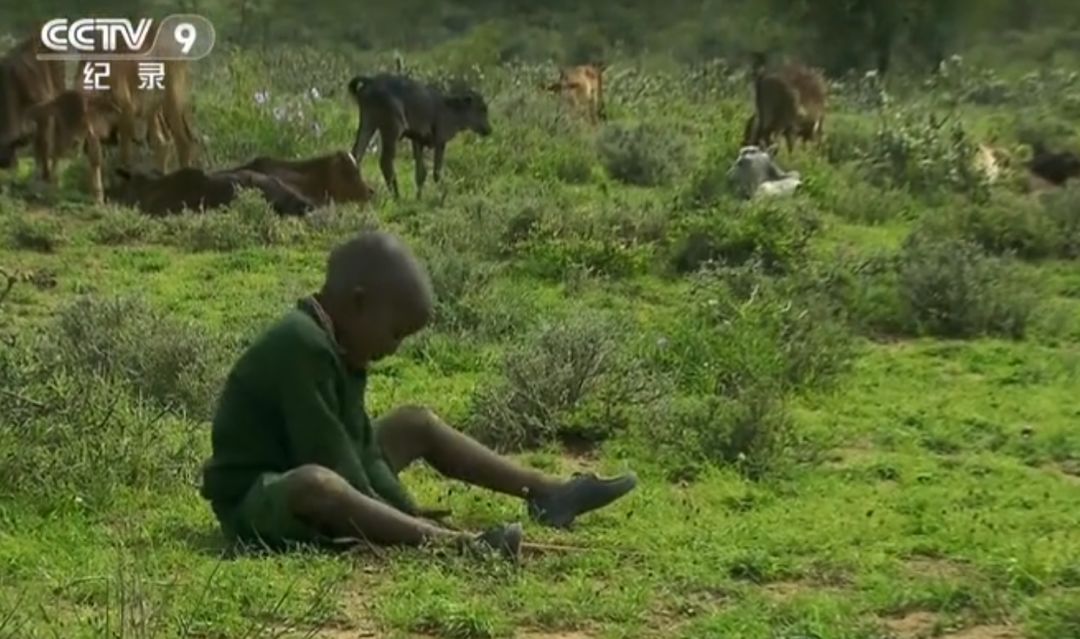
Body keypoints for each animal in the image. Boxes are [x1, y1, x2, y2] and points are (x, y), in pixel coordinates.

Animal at [345, 71, 494, 197]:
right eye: (482, 109)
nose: (489, 130)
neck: (451, 108)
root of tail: (370, 81)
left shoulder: (418, 140)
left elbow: (421, 174)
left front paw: (419, 198)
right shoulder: (440, 141)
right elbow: (436, 172)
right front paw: (443, 195)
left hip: (368, 123)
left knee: (356, 154)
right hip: (392, 128)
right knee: (385, 161)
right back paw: (397, 197)